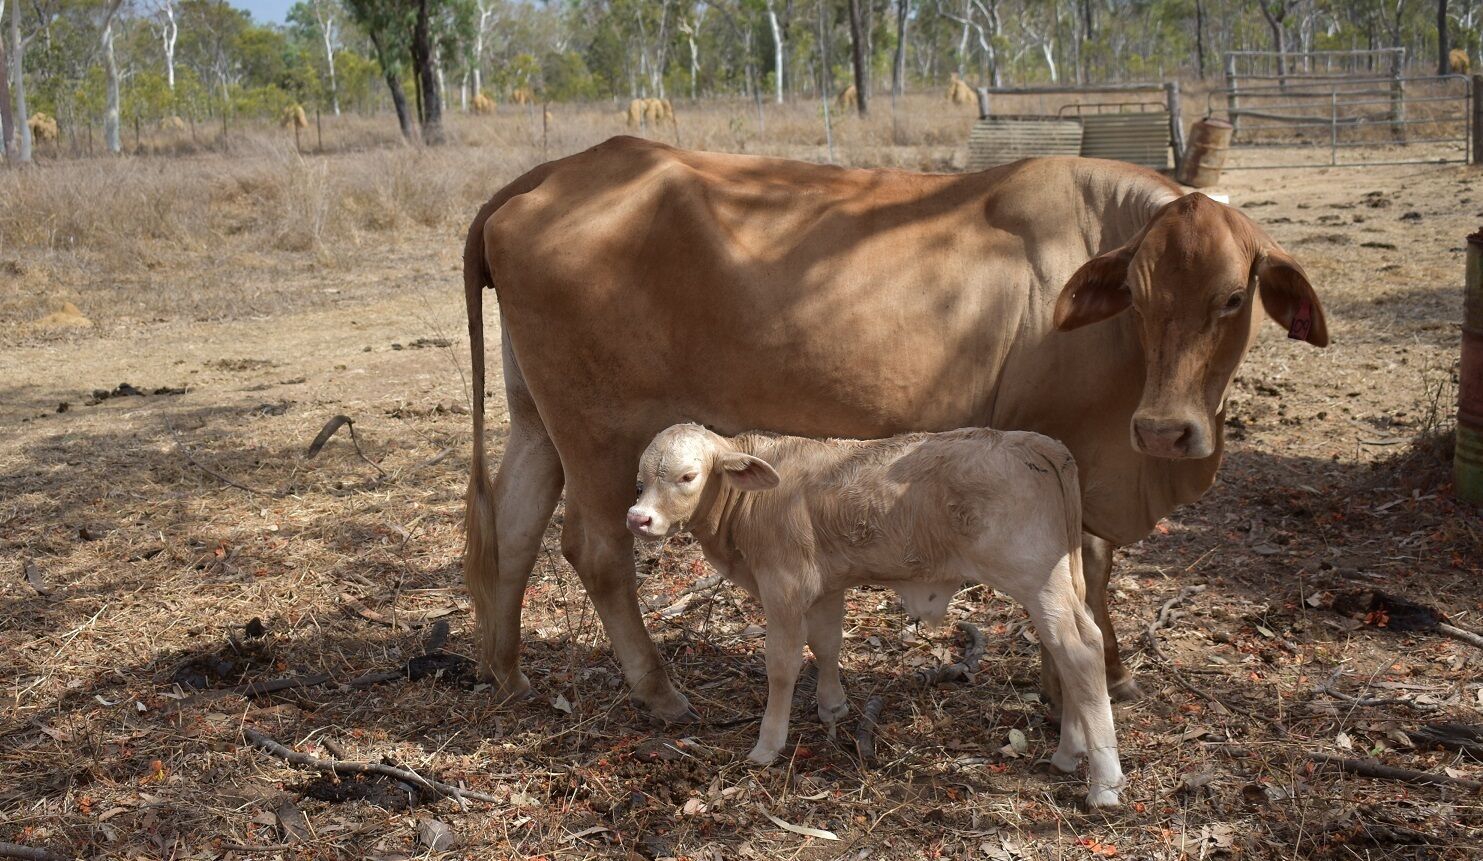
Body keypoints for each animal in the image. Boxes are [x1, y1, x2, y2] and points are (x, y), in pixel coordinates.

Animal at [459, 139, 1322, 717]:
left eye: (1232, 297)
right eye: (1138, 296)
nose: (1166, 431)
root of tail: (549, 173)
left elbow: (1094, 567)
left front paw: (1106, 671)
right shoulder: (1064, 444)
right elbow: (1085, 566)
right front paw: (1073, 683)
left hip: (538, 418)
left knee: (514, 528)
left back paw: (507, 672)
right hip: (603, 429)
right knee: (594, 549)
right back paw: (660, 689)